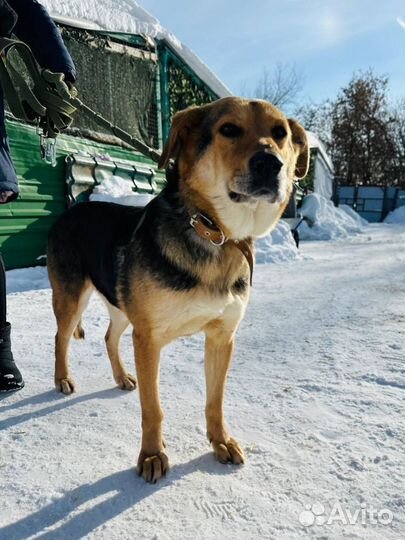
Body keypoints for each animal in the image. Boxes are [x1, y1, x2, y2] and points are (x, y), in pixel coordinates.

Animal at [45, 96, 308, 480]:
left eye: (280, 134)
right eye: (229, 129)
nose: (270, 164)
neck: (214, 233)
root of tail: (69, 212)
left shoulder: (221, 337)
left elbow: (215, 400)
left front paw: (220, 441)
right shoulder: (148, 338)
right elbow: (153, 408)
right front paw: (152, 455)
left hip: (121, 304)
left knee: (109, 336)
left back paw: (121, 377)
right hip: (72, 298)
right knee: (61, 338)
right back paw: (63, 379)